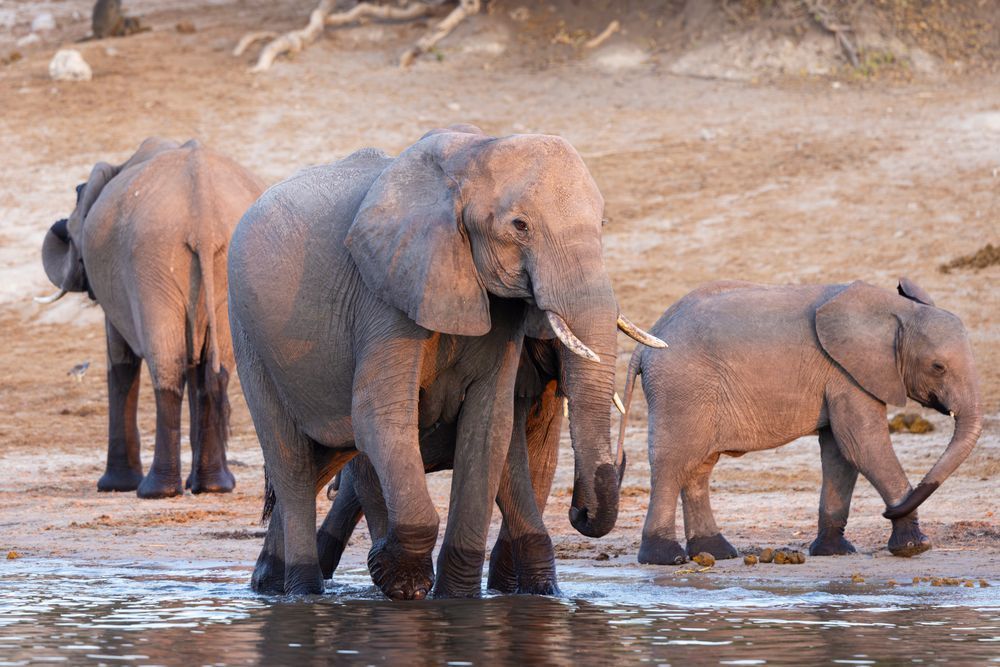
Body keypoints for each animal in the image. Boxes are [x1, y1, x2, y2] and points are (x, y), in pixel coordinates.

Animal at [37, 137, 266, 498]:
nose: (59, 225)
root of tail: (204, 220)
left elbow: (120, 360)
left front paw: (114, 486)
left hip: (152, 260)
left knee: (167, 364)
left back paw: (155, 490)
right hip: (221, 264)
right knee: (215, 370)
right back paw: (214, 486)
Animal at [228, 125, 663, 598]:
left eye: (602, 224)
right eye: (520, 226)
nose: (580, 512)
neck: (470, 155)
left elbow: (490, 428)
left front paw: (457, 599)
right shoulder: (385, 291)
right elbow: (380, 413)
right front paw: (400, 579)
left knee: (327, 458)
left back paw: (269, 583)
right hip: (249, 338)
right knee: (291, 461)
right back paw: (302, 591)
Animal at [617, 278, 983, 565]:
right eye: (938, 367)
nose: (887, 513)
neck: (895, 311)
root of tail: (648, 340)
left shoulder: (843, 377)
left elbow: (840, 454)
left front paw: (836, 551)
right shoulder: (846, 373)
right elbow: (863, 446)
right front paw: (915, 547)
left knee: (698, 467)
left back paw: (716, 552)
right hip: (681, 389)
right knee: (672, 463)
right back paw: (666, 558)